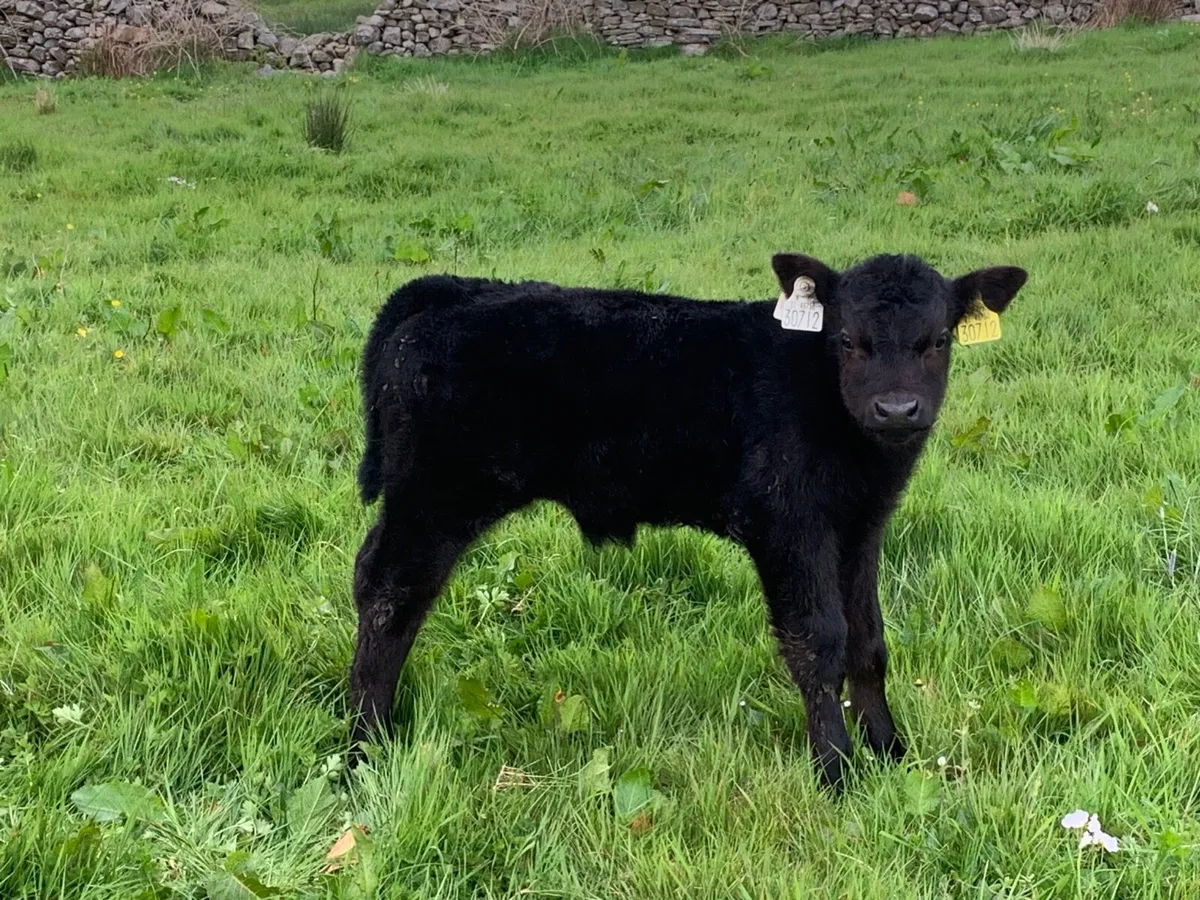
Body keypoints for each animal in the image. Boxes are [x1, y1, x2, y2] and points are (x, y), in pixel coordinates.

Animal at [348, 252, 1026, 791]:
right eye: (846, 340)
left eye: (938, 341)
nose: (896, 408)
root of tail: (450, 289)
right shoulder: (786, 524)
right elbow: (818, 640)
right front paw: (837, 771)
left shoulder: (861, 527)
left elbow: (869, 639)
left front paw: (889, 751)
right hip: (435, 496)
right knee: (389, 594)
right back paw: (364, 747)